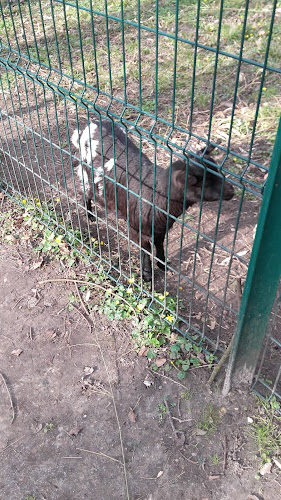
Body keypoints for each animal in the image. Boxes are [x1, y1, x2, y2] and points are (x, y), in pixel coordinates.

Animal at [71, 117, 233, 282]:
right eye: (203, 182)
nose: (231, 191)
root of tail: (93, 122)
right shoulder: (137, 227)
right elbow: (145, 249)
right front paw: (147, 274)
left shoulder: (161, 226)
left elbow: (159, 244)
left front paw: (163, 264)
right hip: (86, 174)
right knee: (85, 192)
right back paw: (89, 215)